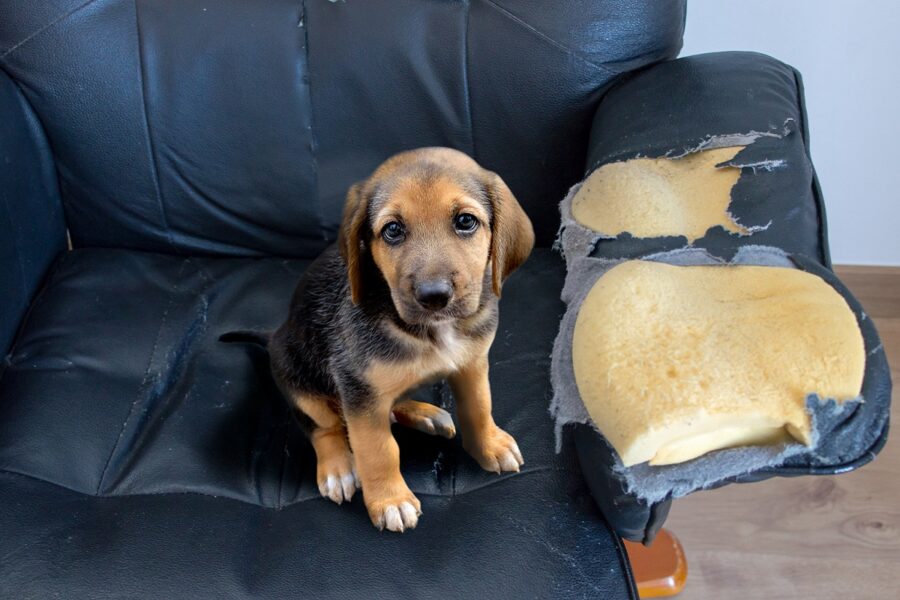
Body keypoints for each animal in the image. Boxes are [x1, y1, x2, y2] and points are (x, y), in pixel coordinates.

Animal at [268, 148, 536, 532]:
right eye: (393, 230)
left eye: (466, 221)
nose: (434, 296)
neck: (432, 331)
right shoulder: (359, 389)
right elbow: (378, 449)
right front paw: (390, 499)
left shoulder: (472, 364)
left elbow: (479, 407)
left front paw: (489, 444)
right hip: (296, 375)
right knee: (325, 427)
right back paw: (337, 468)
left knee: (392, 404)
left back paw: (425, 414)